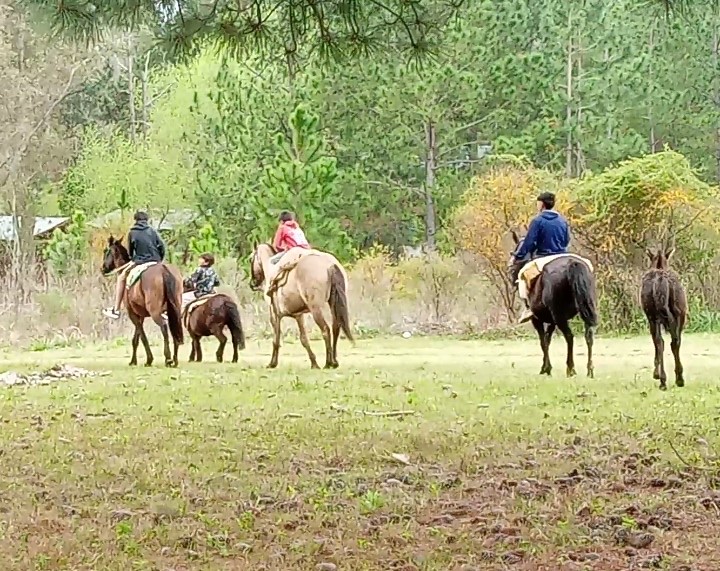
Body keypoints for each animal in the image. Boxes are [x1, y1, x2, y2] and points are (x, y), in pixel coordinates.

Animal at [102, 236, 184, 367]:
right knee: (175, 327)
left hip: (155, 311)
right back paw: (175, 359)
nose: (103, 268)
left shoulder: (132, 314)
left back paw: (168, 358)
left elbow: (142, 336)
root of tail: (163, 270)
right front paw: (133, 361)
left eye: (106, 251)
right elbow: (136, 338)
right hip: (175, 308)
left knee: (164, 327)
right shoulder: (140, 315)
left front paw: (149, 359)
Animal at [508, 232, 598, 378]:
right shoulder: (552, 320)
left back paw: (571, 369)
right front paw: (546, 367)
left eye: (517, 250)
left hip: (559, 315)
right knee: (589, 335)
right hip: (585, 308)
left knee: (569, 337)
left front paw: (546, 368)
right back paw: (589, 370)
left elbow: (542, 341)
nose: (510, 268)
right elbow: (547, 339)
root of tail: (573, 264)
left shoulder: (537, 319)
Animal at [640, 245, 687, 390]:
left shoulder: (650, 318)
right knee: (675, 342)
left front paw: (656, 373)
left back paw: (663, 379)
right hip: (679, 313)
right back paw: (678, 378)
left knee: (661, 342)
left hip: (655, 316)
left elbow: (656, 342)